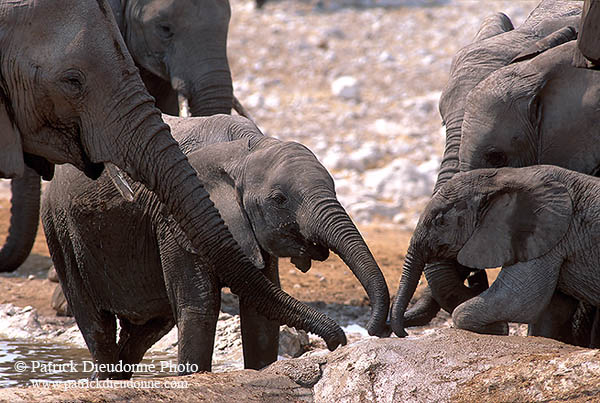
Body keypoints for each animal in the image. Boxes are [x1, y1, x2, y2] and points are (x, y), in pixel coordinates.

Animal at [42, 113, 390, 378]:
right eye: (279, 199)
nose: (342, 341)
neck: (244, 150)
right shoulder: (175, 218)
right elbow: (200, 308)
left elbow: (260, 314)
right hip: (59, 230)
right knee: (96, 324)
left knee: (147, 330)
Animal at [392, 164, 600, 338]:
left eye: (440, 221)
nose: (404, 334)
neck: (509, 175)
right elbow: (553, 310)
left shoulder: (546, 237)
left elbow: (517, 299)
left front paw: (497, 328)